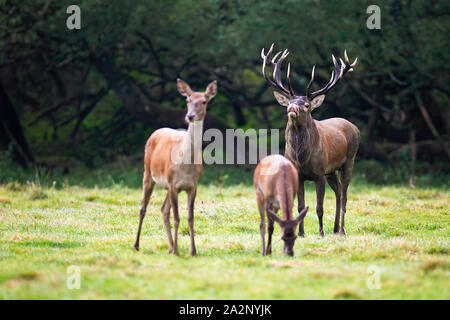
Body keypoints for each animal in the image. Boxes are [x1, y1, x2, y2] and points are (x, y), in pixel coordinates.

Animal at [134, 79, 218, 256]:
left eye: (204, 101)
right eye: (188, 100)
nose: (190, 116)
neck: (186, 164)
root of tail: (155, 132)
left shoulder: (192, 186)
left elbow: (190, 218)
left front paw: (192, 251)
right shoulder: (173, 184)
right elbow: (177, 217)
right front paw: (179, 251)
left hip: (167, 185)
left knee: (164, 210)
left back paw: (171, 246)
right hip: (148, 173)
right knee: (143, 207)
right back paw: (137, 245)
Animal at [260, 43, 358, 236]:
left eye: (306, 105)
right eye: (290, 101)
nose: (291, 109)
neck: (301, 158)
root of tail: (354, 127)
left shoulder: (319, 173)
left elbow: (319, 207)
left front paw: (320, 233)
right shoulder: (298, 174)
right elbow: (300, 205)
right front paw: (301, 233)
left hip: (349, 160)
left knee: (344, 195)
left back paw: (342, 230)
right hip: (331, 171)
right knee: (338, 193)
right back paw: (335, 229)